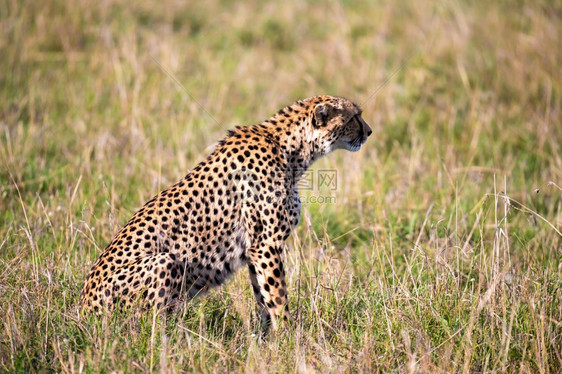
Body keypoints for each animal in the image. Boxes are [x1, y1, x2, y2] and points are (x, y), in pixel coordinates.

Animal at [79, 95, 368, 330]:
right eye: (355, 116)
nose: (370, 131)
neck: (290, 148)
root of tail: (81, 310)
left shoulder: (255, 249)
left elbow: (263, 296)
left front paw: (267, 339)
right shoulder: (267, 244)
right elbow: (277, 296)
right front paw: (290, 338)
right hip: (164, 261)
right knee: (146, 326)